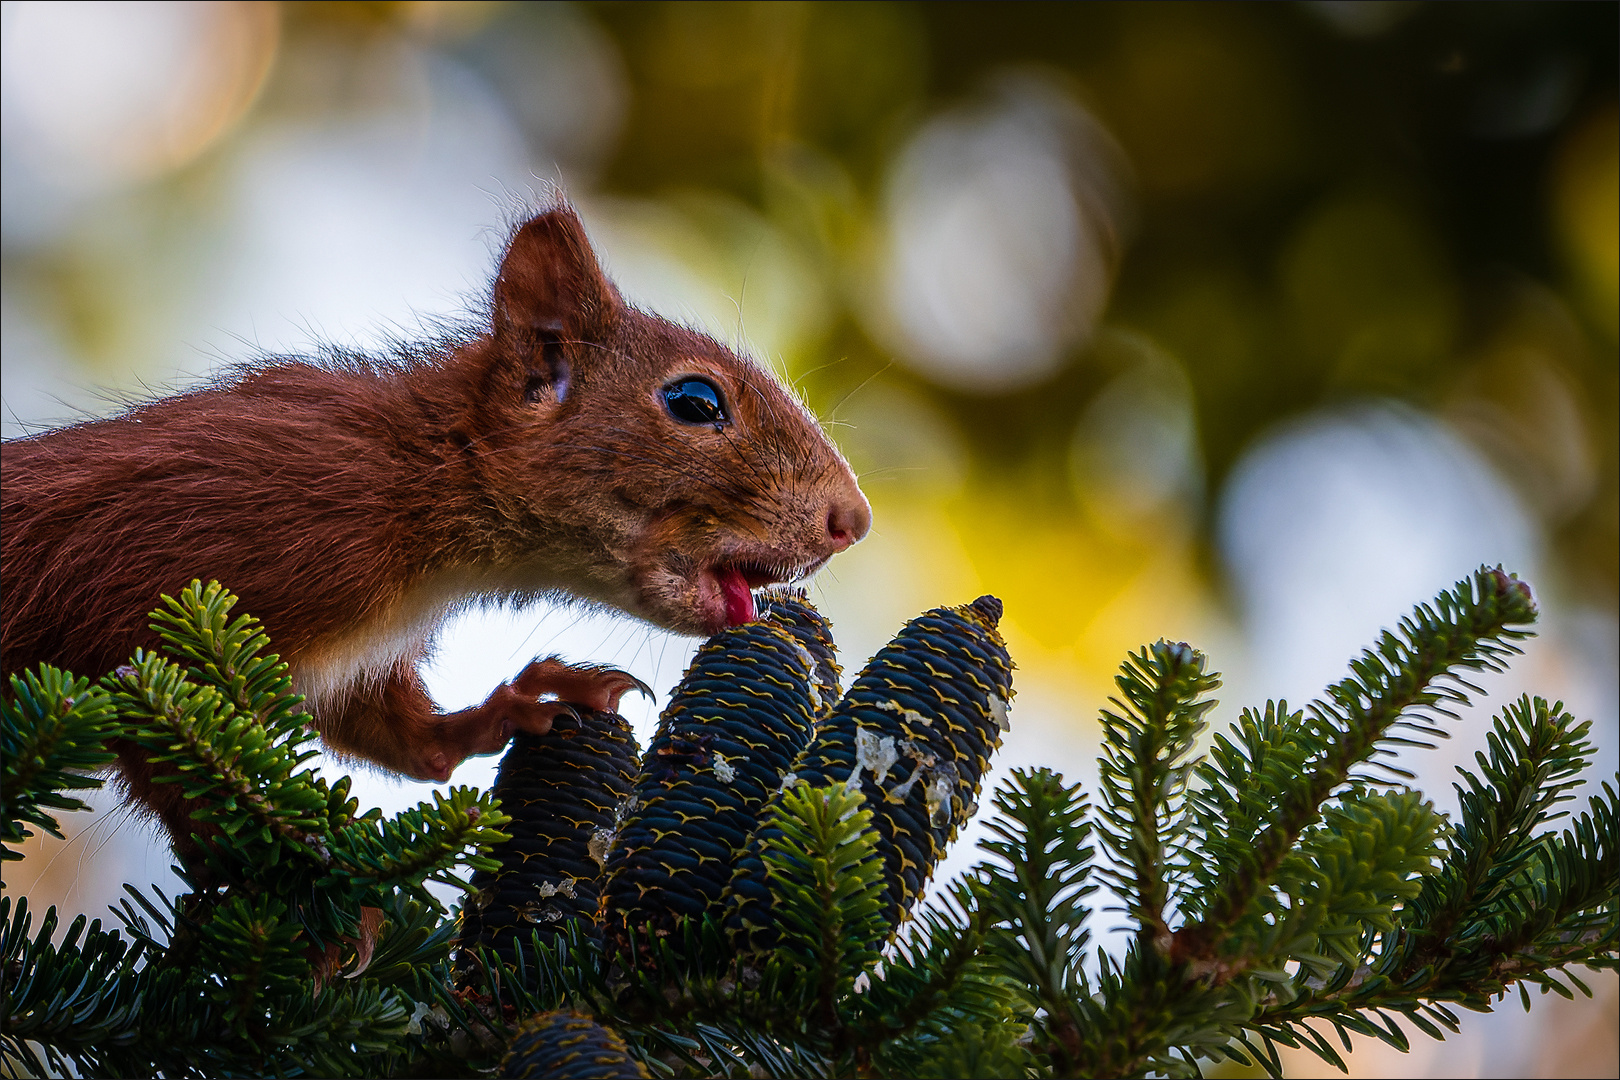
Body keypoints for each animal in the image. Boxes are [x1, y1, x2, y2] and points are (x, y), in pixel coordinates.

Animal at [0, 200, 874, 841]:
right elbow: (165, 737)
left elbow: (407, 743)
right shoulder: (183, 574)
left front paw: (525, 702)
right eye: (695, 402)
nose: (854, 520)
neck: (423, 492)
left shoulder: (359, 657)